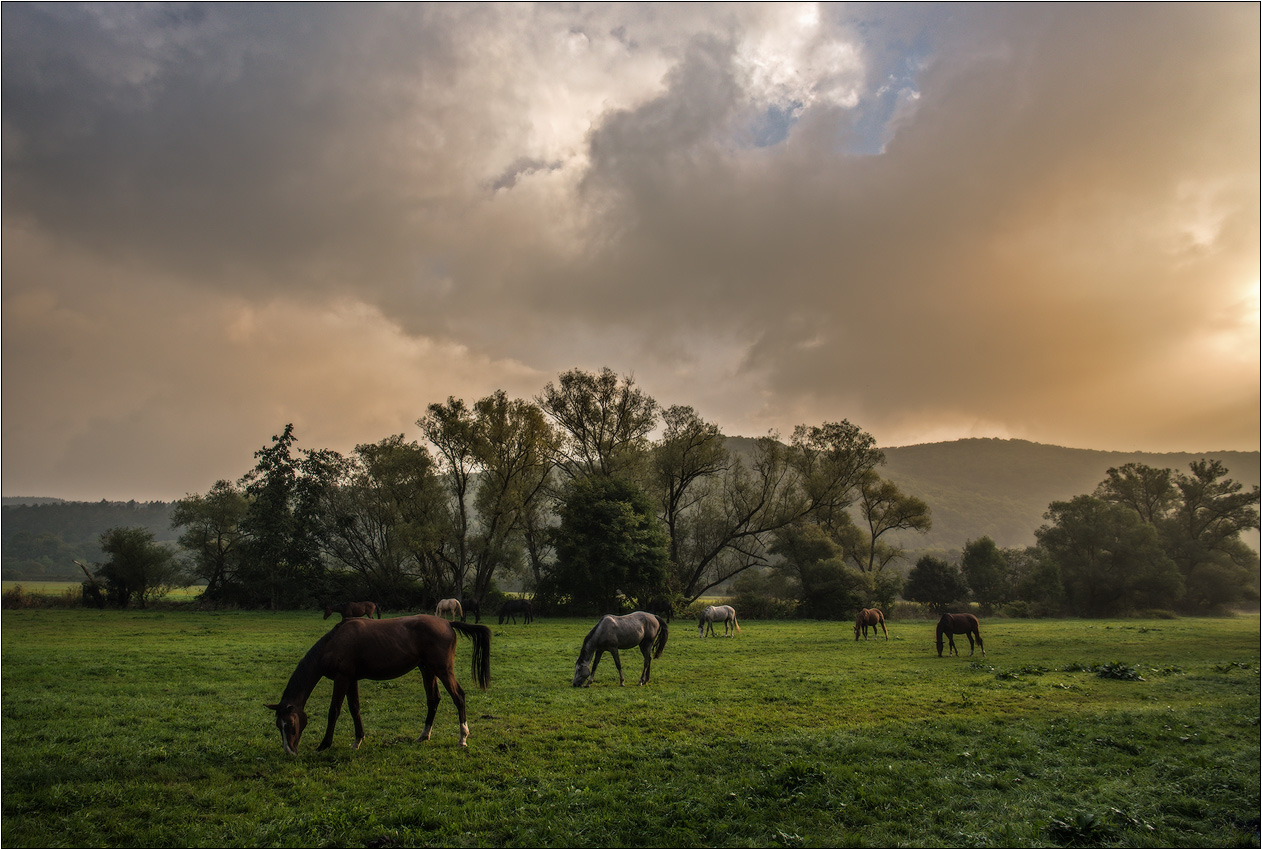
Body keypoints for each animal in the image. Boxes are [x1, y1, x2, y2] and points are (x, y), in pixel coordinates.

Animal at [263, 612, 489, 751]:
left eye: (290, 725)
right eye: (278, 726)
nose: (289, 751)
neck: (333, 643)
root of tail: (447, 623)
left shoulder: (342, 678)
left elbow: (334, 710)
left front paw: (324, 744)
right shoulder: (350, 679)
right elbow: (354, 708)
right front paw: (357, 740)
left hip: (443, 670)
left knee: (458, 697)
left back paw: (462, 737)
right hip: (427, 669)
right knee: (433, 700)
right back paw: (423, 735)